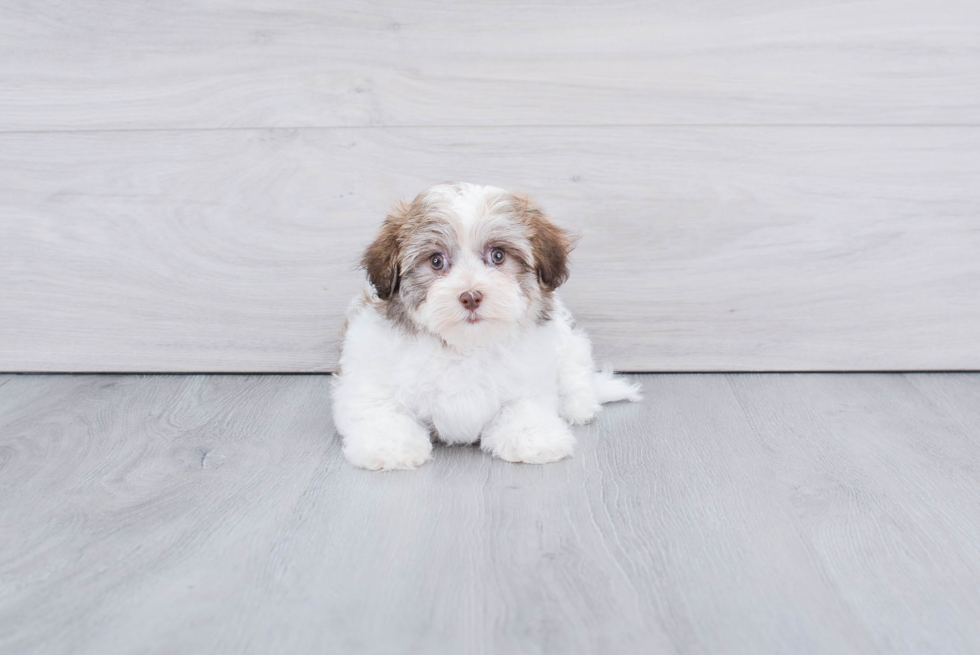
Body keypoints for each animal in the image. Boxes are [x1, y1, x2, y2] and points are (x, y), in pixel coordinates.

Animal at [332, 183, 644, 472]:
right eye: (436, 260)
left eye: (498, 256)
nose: (471, 296)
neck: (465, 345)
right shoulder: (371, 375)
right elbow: (381, 409)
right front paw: (390, 446)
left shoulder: (531, 375)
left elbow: (525, 405)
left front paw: (531, 437)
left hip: (569, 345)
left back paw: (577, 406)